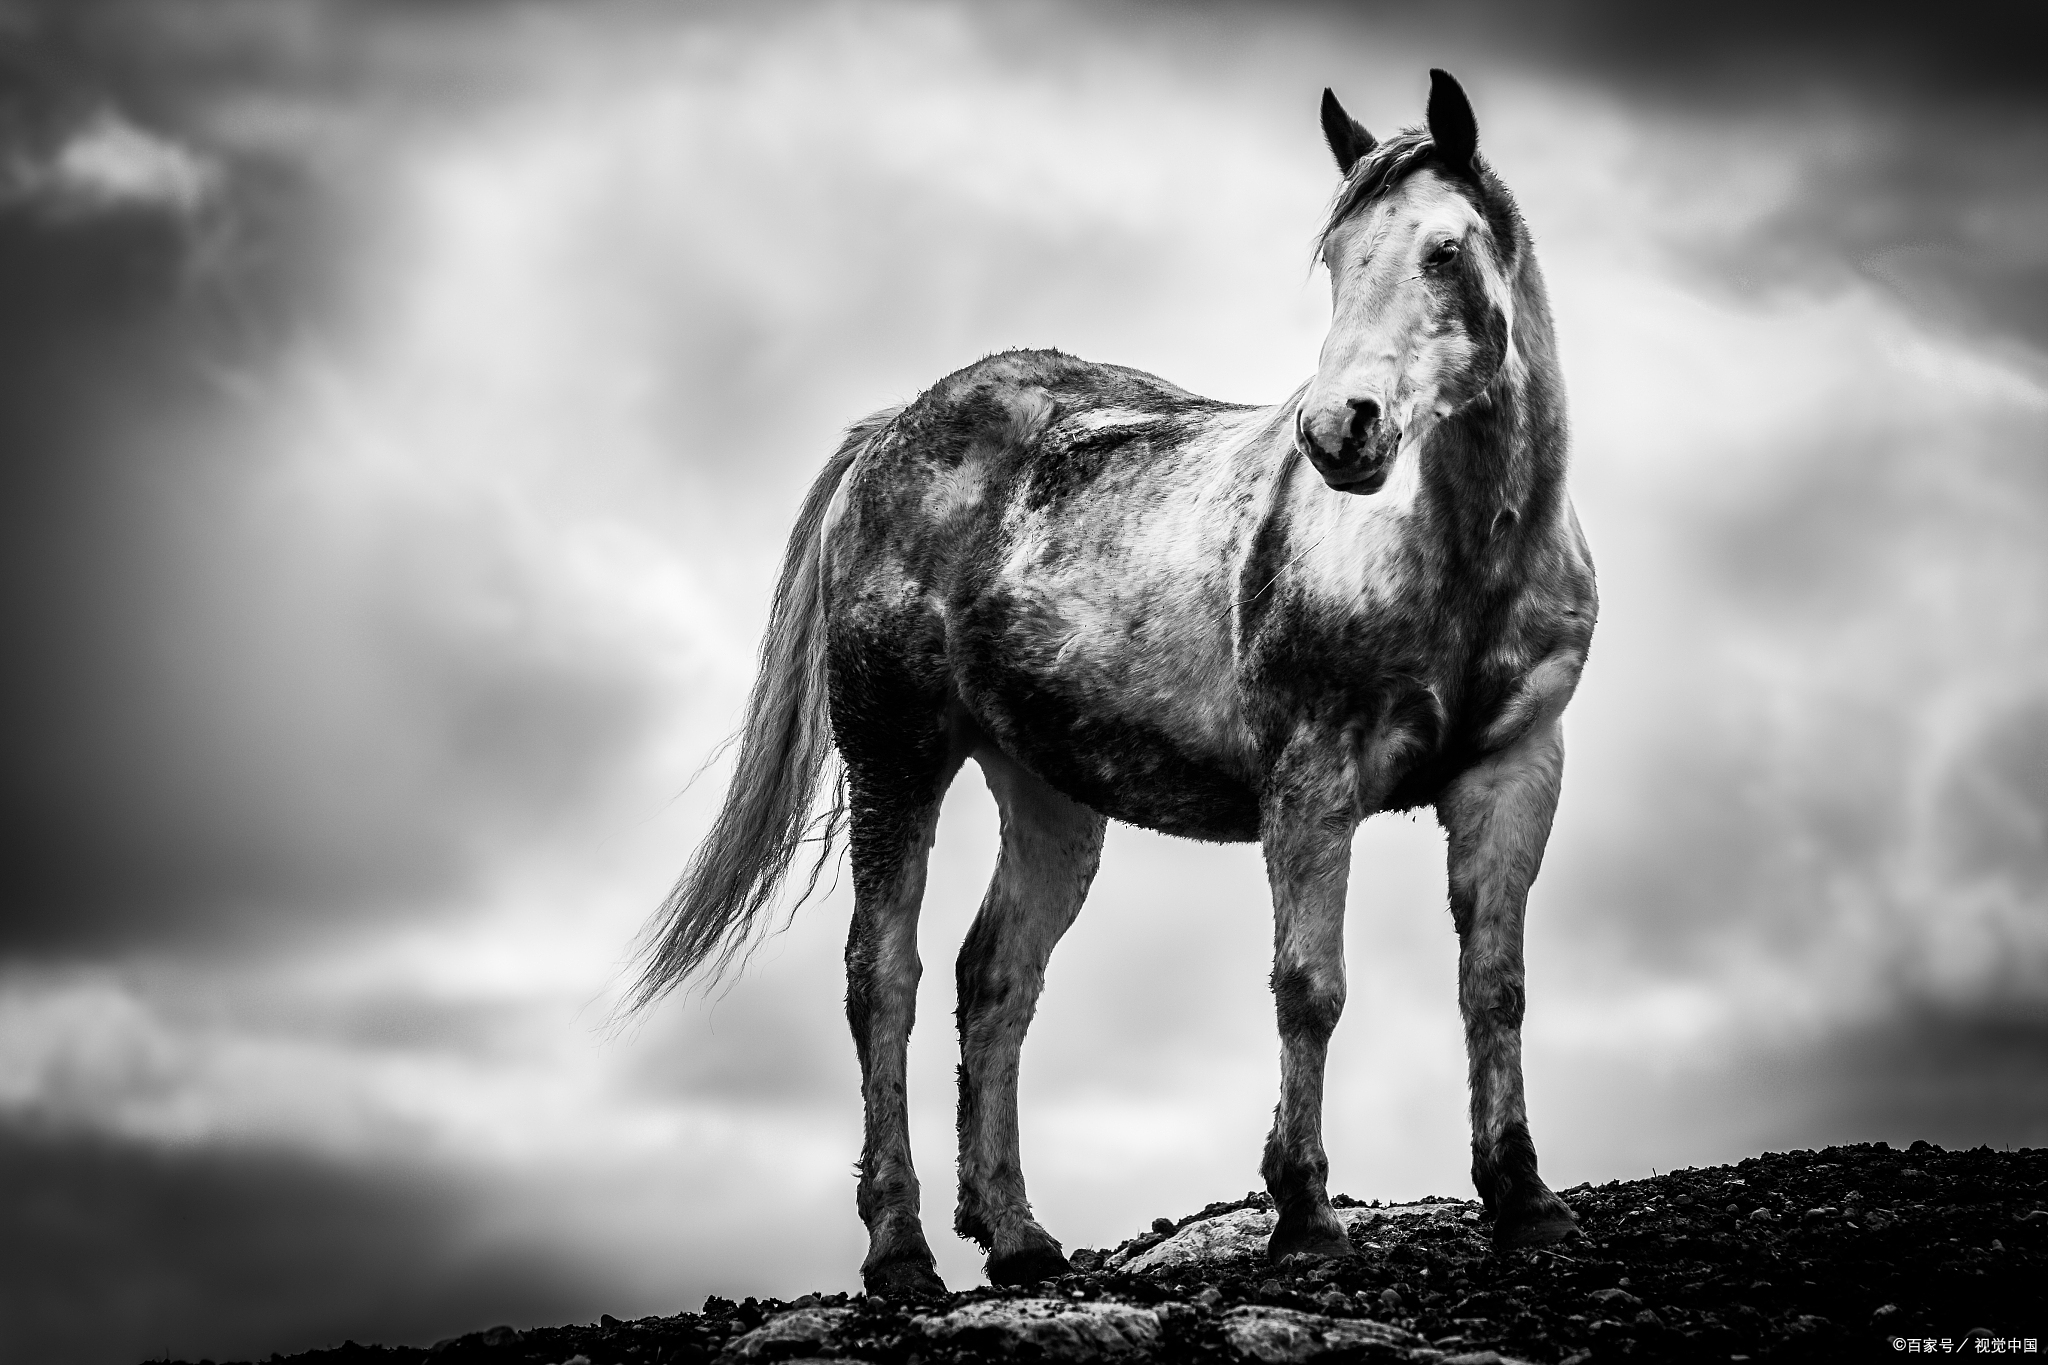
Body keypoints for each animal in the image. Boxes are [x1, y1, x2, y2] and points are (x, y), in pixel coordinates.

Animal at [630, 69, 1589, 1301]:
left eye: (1444, 249)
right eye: (1334, 259)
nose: (1337, 430)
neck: (1463, 561)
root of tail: (894, 428)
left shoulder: (1514, 772)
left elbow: (1494, 984)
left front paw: (1524, 1201)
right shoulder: (1312, 782)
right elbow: (1309, 987)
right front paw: (1303, 1218)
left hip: (1047, 791)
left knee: (995, 979)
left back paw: (1020, 1238)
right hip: (897, 751)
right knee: (880, 976)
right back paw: (901, 1251)